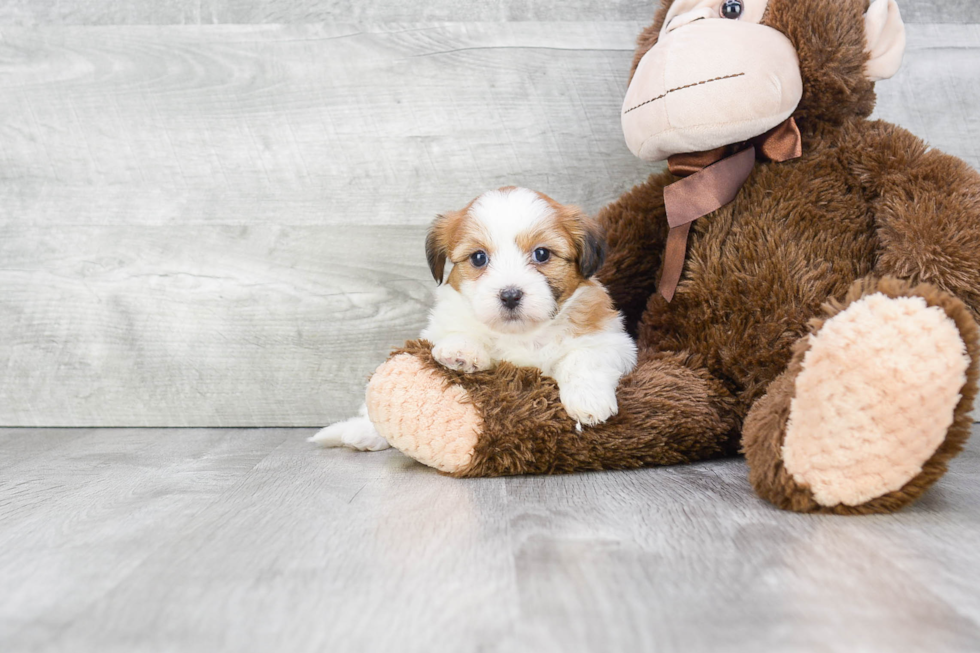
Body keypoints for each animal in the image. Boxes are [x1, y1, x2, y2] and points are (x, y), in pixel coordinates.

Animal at [310, 186, 640, 450]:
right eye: (479, 258)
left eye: (542, 254)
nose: (510, 295)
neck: (521, 333)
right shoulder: (441, 326)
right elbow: (458, 333)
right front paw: (462, 352)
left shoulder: (611, 340)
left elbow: (583, 359)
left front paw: (588, 400)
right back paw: (360, 432)